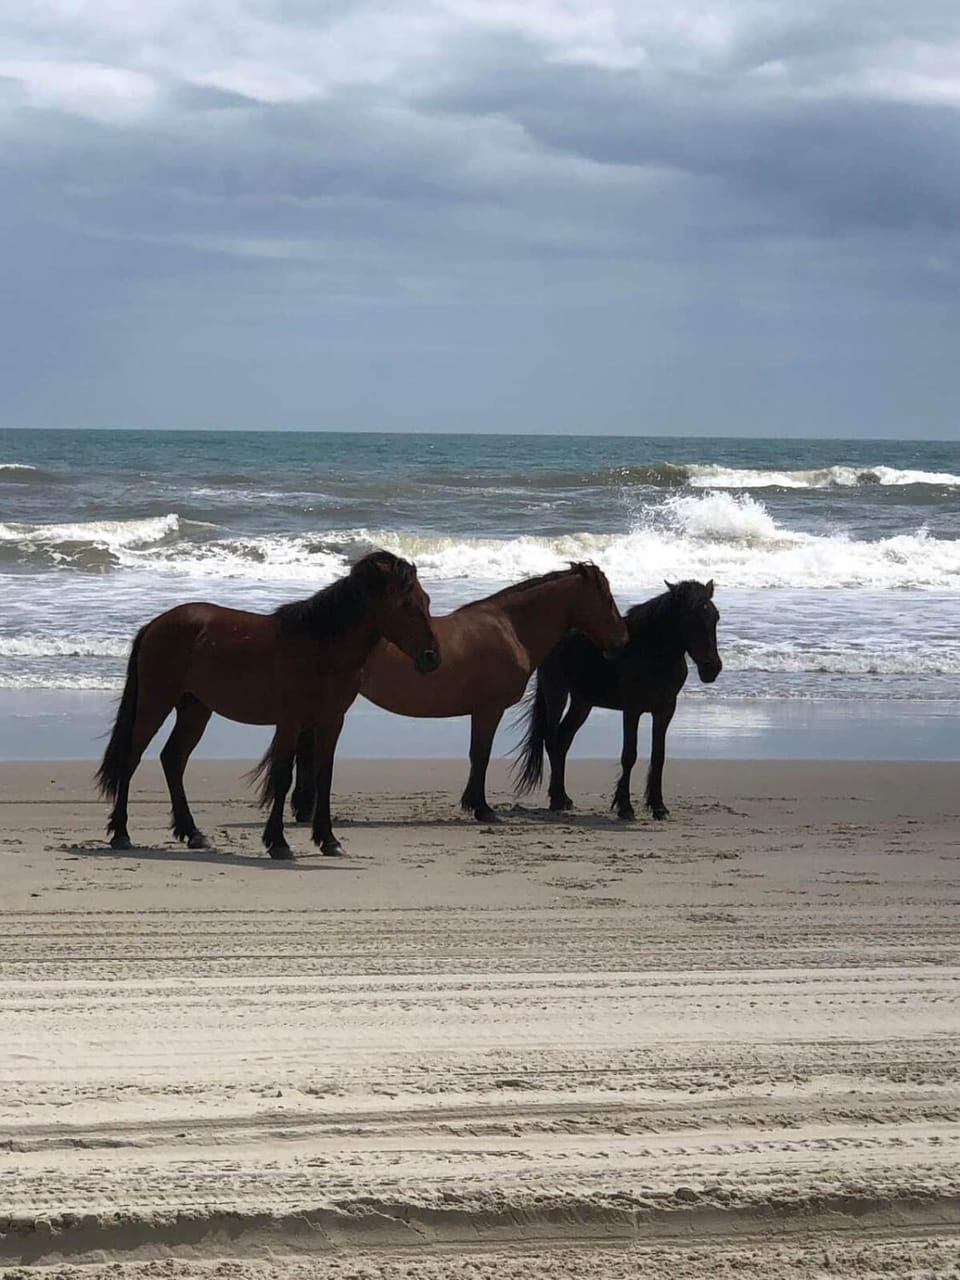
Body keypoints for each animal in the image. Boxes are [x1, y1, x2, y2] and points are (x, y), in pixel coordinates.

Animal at [96, 551, 440, 860]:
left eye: (427, 601)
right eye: (406, 604)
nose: (432, 657)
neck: (320, 648)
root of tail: (155, 624)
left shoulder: (331, 721)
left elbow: (323, 777)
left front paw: (328, 841)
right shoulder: (290, 722)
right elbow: (283, 777)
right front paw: (278, 843)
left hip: (195, 709)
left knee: (173, 759)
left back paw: (192, 833)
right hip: (155, 702)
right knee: (131, 759)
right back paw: (121, 834)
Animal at [289, 562, 629, 824]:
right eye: (606, 597)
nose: (622, 641)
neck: (510, 628)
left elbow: (476, 755)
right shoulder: (489, 710)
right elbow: (480, 755)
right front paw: (482, 808)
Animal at [514, 579, 721, 820]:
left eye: (715, 617)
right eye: (690, 617)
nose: (712, 668)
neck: (652, 652)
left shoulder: (665, 710)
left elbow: (658, 757)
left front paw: (658, 806)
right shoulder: (632, 709)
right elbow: (629, 755)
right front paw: (625, 807)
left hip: (582, 702)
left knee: (563, 739)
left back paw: (564, 798)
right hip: (556, 692)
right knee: (552, 740)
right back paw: (556, 799)